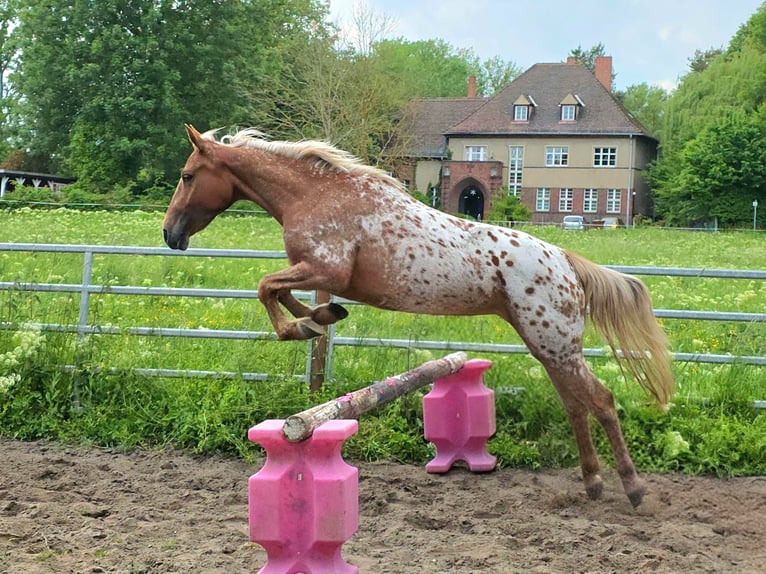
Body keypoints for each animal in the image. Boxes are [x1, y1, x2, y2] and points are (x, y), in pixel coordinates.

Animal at [163, 124, 674, 508]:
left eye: (188, 175)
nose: (170, 234)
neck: (314, 194)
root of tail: (566, 260)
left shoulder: (325, 267)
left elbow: (267, 287)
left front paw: (304, 323)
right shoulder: (320, 272)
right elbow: (285, 293)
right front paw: (323, 315)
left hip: (557, 344)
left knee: (601, 401)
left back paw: (632, 488)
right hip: (548, 348)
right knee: (576, 406)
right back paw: (593, 483)